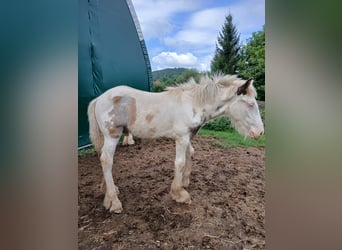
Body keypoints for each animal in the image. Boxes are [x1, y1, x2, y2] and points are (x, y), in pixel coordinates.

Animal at [87, 74, 264, 213]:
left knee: (102, 158)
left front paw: (185, 182)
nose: (260, 132)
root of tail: (99, 98)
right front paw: (179, 194)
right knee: (106, 160)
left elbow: (190, 154)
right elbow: (180, 162)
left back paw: (108, 192)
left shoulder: (188, 136)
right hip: (112, 135)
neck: (193, 104)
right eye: (250, 104)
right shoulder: (181, 137)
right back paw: (114, 202)